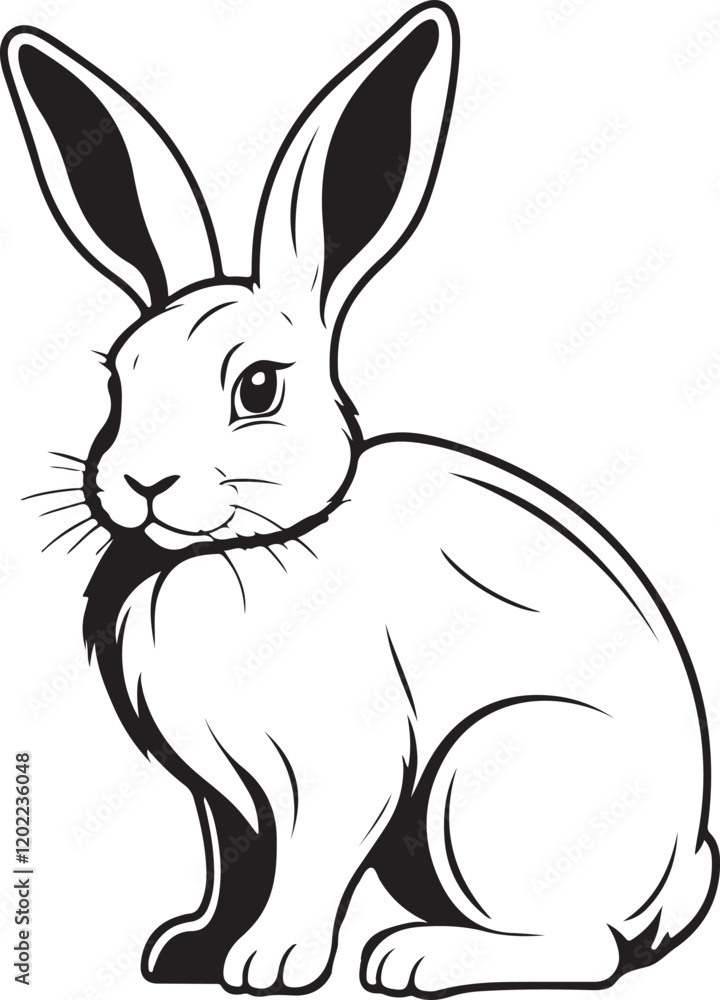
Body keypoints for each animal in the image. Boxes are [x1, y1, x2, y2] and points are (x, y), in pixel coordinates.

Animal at [3, 3, 717, 996]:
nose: (141, 484)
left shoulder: (343, 770)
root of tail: (677, 872)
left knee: (590, 946)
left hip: (483, 777)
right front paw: (190, 950)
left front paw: (271, 964)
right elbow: (233, 866)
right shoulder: (221, 797)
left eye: (259, 388)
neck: (240, 547)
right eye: (119, 375)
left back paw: (417, 957)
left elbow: (309, 865)